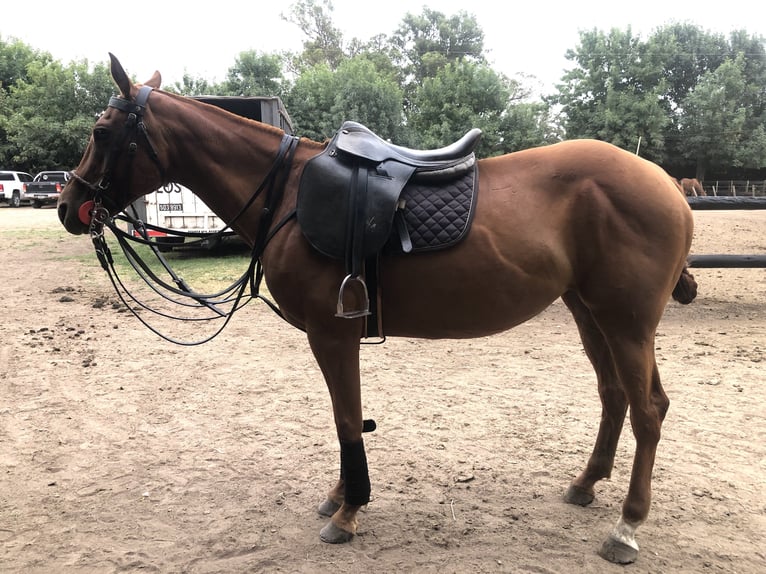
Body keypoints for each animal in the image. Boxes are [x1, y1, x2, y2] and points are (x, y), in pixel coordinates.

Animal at [57, 54, 700, 568]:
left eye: (101, 130)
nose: (69, 204)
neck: (288, 195)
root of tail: (668, 185)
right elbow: (346, 415)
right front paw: (341, 496)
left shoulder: (331, 333)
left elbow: (346, 418)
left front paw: (349, 510)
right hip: (590, 312)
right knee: (616, 397)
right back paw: (586, 484)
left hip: (627, 322)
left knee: (648, 410)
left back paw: (626, 527)